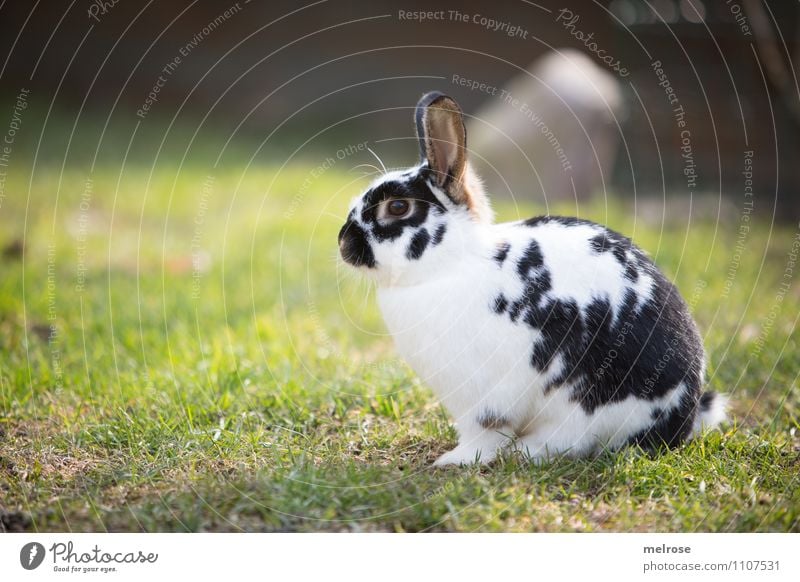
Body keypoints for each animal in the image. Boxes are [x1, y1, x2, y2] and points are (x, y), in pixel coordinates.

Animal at [338, 91, 724, 468]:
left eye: (398, 207)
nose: (343, 244)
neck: (451, 265)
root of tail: (685, 415)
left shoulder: (485, 397)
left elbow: (485, 433)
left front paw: (455, 460)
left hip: (588, 407)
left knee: (572, 441)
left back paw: (527, 450)